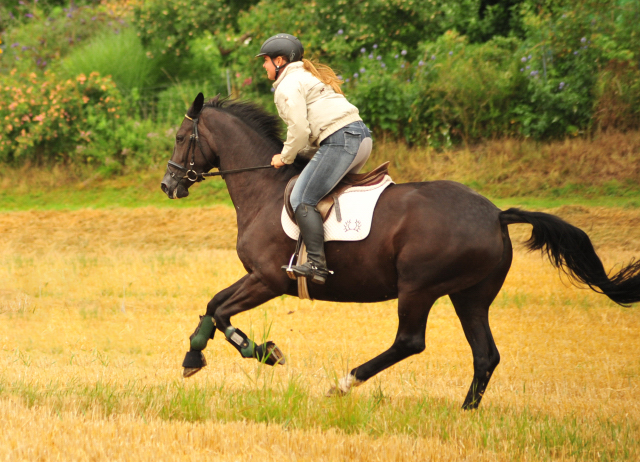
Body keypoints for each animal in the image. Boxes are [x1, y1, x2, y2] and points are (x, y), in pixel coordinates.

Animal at [160, 92, 640, 410]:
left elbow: (224, 312)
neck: (262, 188)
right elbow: (213, 305)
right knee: (485, 354)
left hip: (418, 287)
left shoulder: (269, 278)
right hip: (470, 296)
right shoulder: (258, 276)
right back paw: (465, 412)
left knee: (409, 341)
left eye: (183, 136)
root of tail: (495, 214)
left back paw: (344, 382)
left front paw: (262, 352)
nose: (167, 185)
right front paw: (193, 356)